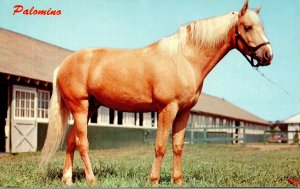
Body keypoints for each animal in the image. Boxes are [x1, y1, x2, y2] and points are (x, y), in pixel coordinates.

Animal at [41, 0, 274, 185]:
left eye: (262, 26)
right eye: (248, 26)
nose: (268, 55)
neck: (184, 58)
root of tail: (63, 65)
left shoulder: (184, 112)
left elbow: (178, 146)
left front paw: (177, 180)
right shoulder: (166, 109)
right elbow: (160, 145)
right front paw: (154, 180)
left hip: (90, 107)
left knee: (71, 141)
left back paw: (68, 179)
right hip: (80, 107)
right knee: (82, 143)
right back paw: (91, 179)